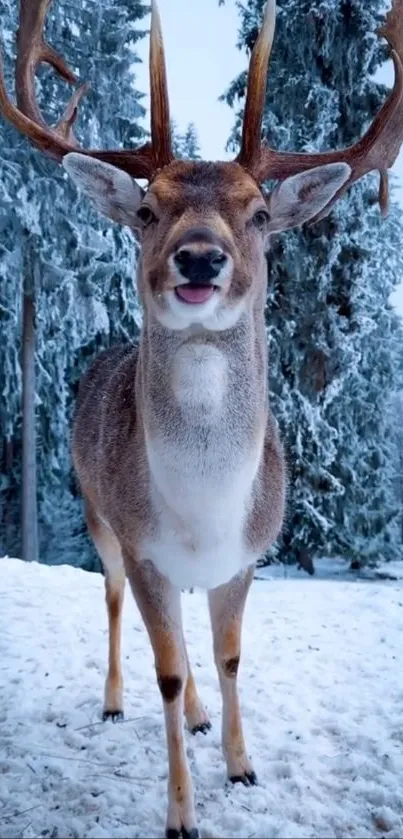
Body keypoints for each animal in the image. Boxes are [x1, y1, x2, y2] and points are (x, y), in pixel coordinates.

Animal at [0, 0, 403, 836]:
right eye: (146, 207)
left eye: (258, 213)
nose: (197, 258)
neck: (203, 511)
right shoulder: (143, 547)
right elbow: (163, 668)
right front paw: (180, 813)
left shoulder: (247, 554)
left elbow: (225, 658)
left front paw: (242, 766)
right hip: (97, 516)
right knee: (115, 606)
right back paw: (115, 702)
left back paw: (197, 715)